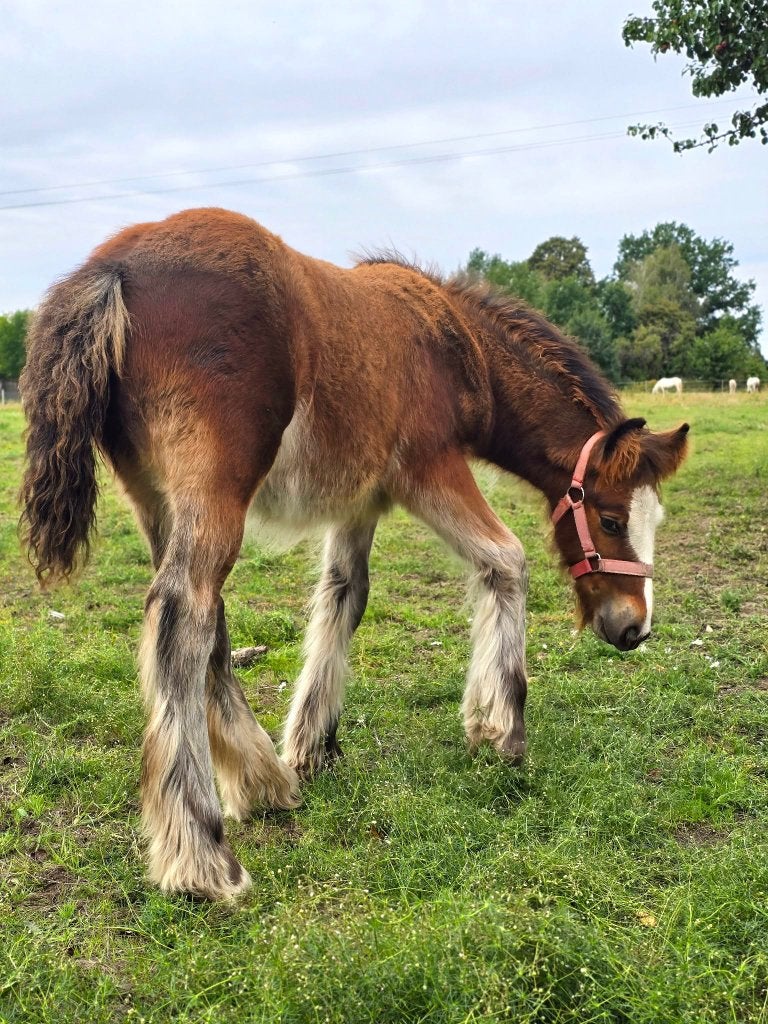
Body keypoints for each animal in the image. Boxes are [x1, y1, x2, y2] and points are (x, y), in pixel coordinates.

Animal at [20, 208, 689, 900]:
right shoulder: (429, 469)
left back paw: (262, 780)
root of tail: (111, 269)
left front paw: (313, 745)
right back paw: (202, 853)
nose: (634, 627)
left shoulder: (361, 501)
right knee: (183, 618)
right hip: (214, 495)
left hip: (158, 500)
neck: (457, 347)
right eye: (611, 519)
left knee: (202, 619)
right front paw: (498, 728)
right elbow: (506, 559)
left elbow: (345, 595)